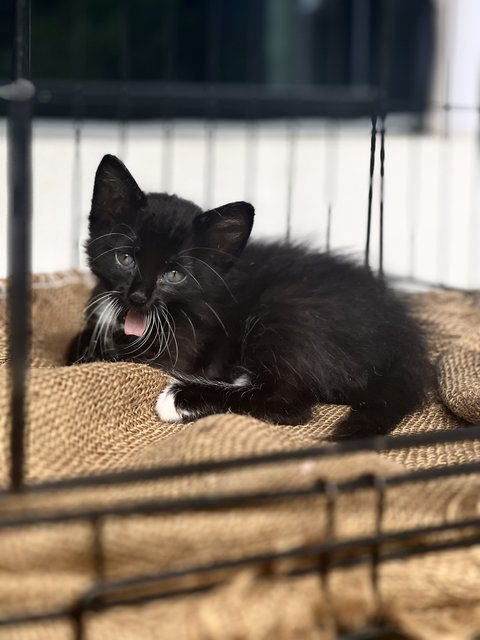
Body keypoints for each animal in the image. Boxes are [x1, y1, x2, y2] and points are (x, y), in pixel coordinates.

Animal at [68, 152, 432, 438]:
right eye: (125, 259)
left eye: (174, 275)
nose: (139, 297)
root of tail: (404, 338)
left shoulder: (183, 343)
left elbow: (130, 359)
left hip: (287, 310)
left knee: (287, 402)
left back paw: (184, 396)